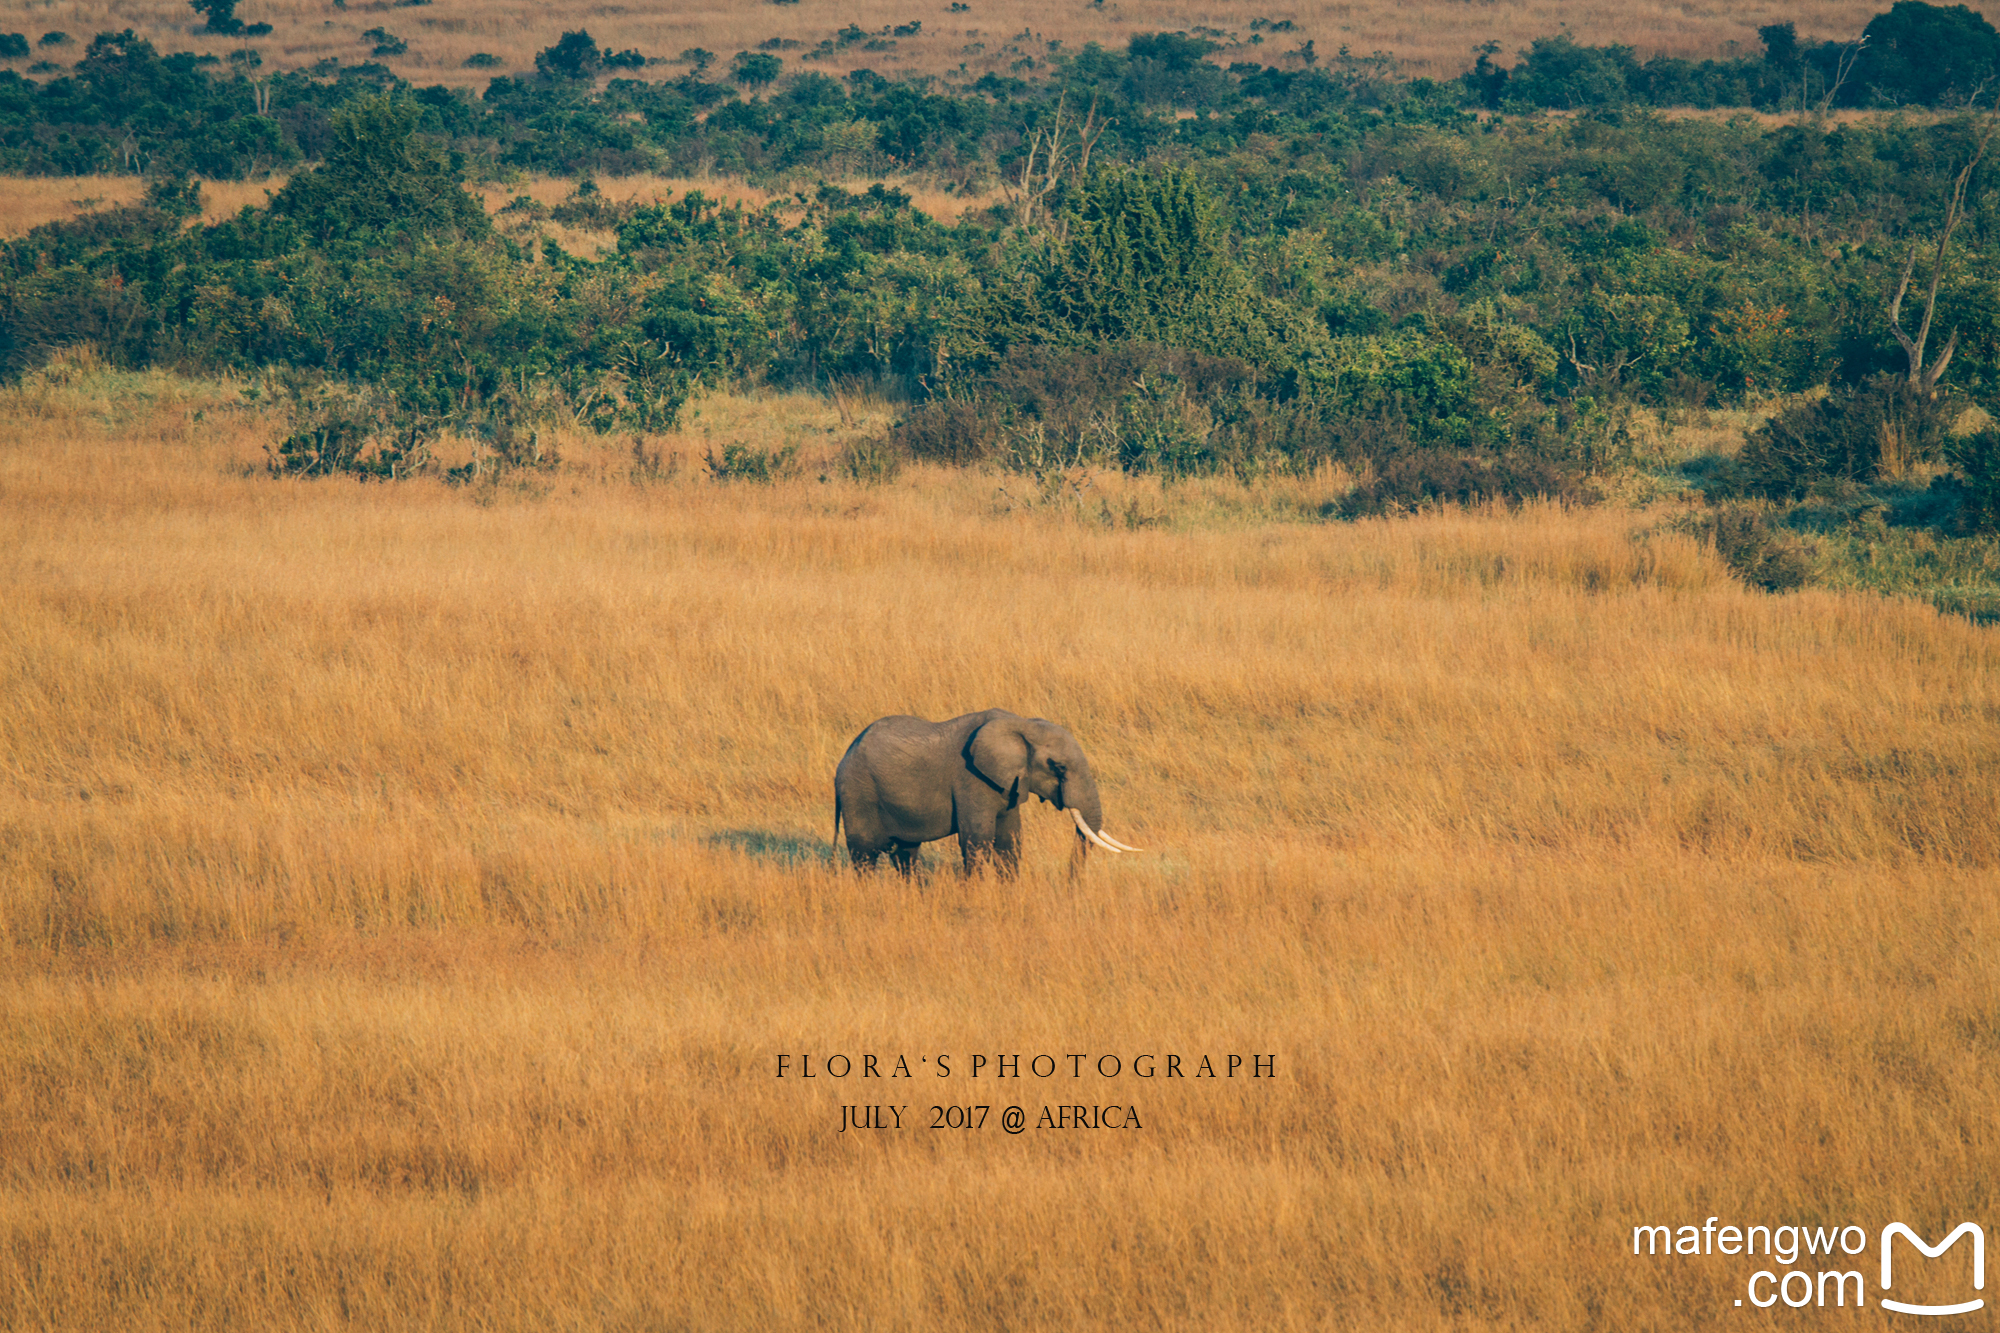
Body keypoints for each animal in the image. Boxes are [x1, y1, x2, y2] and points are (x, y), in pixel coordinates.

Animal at [832, 704, 1144, 872]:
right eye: (1058, 767)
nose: (1071, 885)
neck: (1020, 723)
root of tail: (844, 757)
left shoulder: (1010, 784)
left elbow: (1010, 841)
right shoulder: (971, 779)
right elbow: (978, 839)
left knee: (905, 853)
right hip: (858, 792)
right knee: (864, 853)